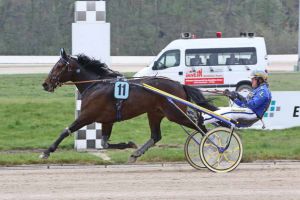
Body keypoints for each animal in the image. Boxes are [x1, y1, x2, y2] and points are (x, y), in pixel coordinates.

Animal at [40, 48, 218, 162]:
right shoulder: (107, 120)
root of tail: (180, 84)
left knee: (200, 126)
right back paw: (136, 154)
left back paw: (213, 145)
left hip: (175, 114)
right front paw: (129, 145)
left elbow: (66, 131)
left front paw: (47, 151)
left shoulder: (87, 115)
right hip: (155, 113)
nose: (45, 84)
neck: (95, 85)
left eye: (59, 66)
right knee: (156, 136)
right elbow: (105, 143)